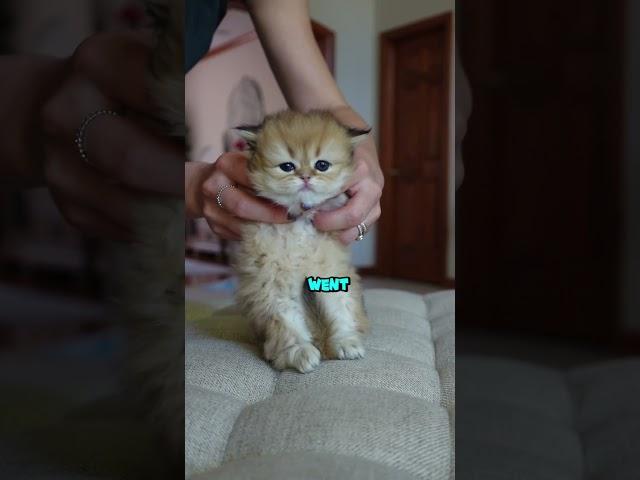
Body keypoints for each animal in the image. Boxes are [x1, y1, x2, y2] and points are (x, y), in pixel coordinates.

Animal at [235, 110, 370, 374]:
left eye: (322, 165)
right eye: (287, 167)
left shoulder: (333, 273)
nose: (306, 177)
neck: (301, 222)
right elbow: (287, 323)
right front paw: (298, 352)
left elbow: (341, 309)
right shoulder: (273, 283)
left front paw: (345, 342)